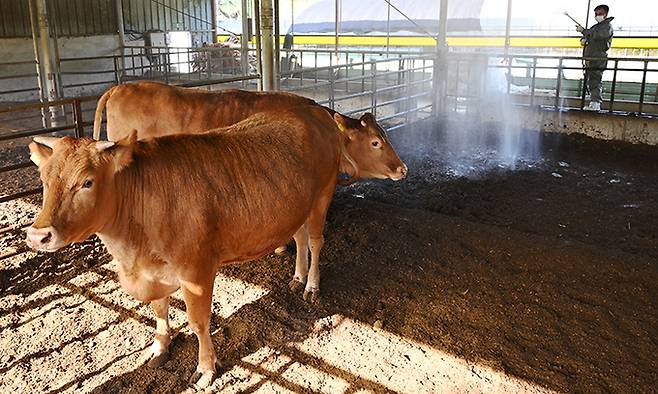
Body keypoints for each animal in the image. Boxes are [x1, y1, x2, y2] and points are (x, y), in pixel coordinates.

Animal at [25, 107, 400, 388]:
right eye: (43, 180)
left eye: (87, 182)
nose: (37, 236)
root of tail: (313, 112)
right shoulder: (154, 271)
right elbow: (159, 309)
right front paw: (160, 346)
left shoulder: (196, 270)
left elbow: (198, 321)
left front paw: (205, 368)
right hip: (297, 204)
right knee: (301, 238)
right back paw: (297, 277)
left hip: (323, 194)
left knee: (317, 240)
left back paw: (311, 285)